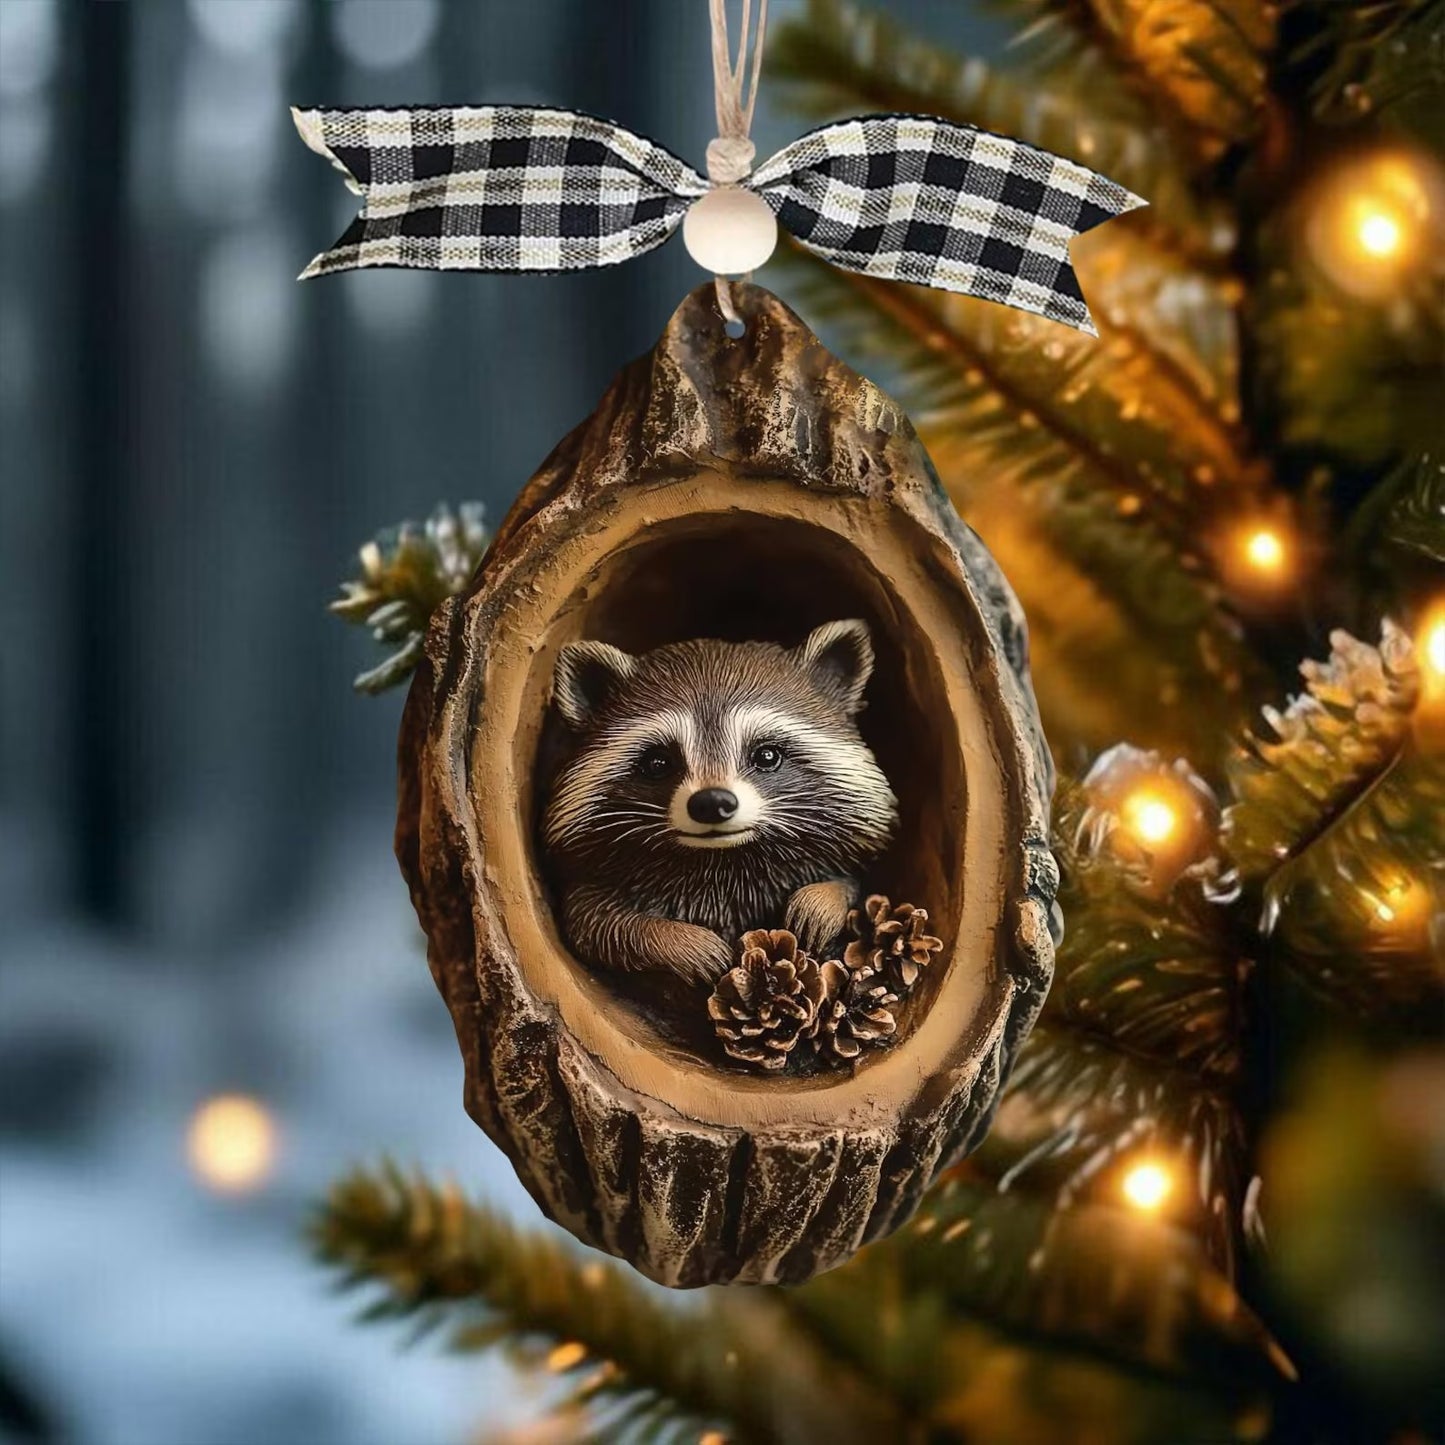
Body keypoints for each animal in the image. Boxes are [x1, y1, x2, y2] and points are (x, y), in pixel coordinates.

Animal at [543, 619, 899, 988]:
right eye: (658, 763)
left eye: (766, 755)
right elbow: (597, 926)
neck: (723, 861)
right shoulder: (592, 884)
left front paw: (821, 900)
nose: (712, 802)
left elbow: (852, 883)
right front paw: (680, 942)